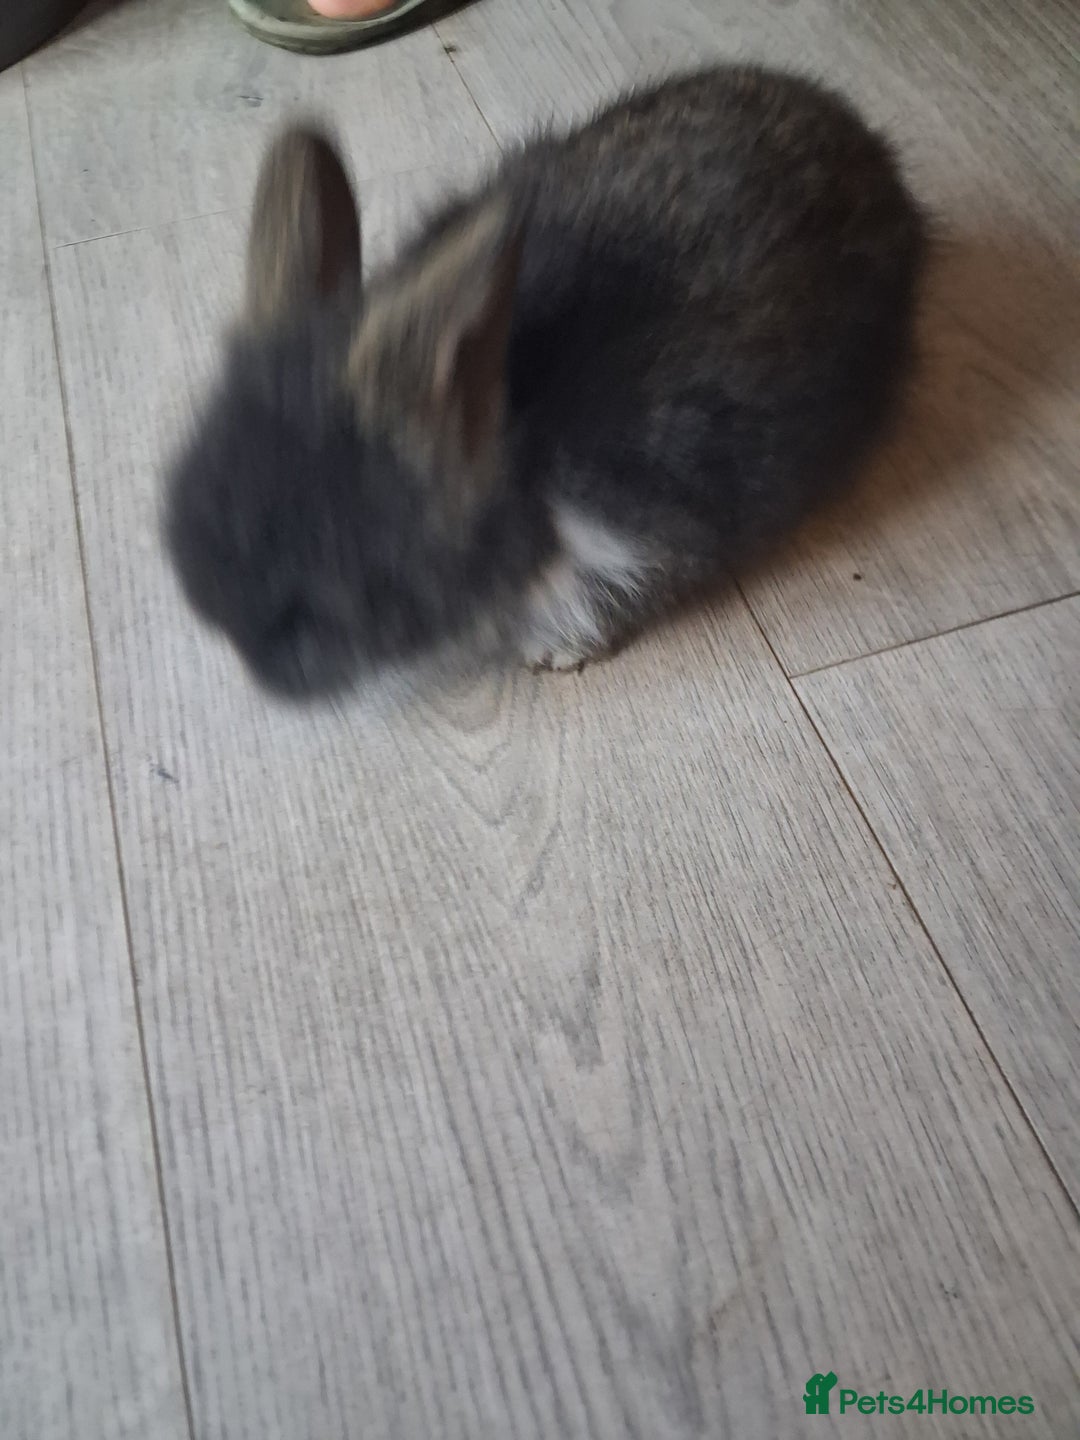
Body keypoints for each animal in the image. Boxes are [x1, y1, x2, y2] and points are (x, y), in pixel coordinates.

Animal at [165, 64, 927, 698]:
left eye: (310, 608)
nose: (259, 675)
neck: (514, 429)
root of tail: (869, 145)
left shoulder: (638, 536)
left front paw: (553, 652)